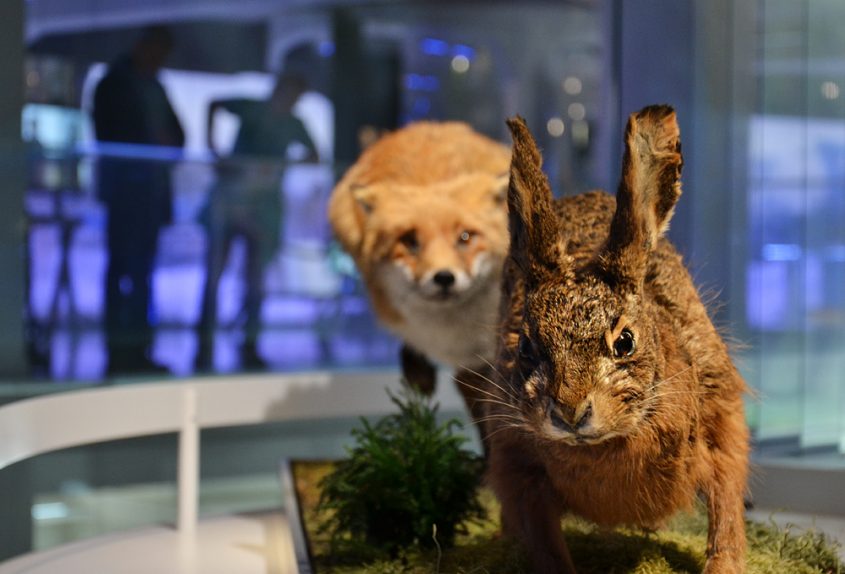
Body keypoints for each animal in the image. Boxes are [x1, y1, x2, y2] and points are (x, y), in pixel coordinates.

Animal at [484, 105, 749, 574]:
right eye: (527, 348)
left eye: (625, 342)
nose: (569, 411)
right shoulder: (515, 461)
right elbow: (544, 542)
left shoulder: (722, 420)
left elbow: (726, 508)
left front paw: (724, 566)